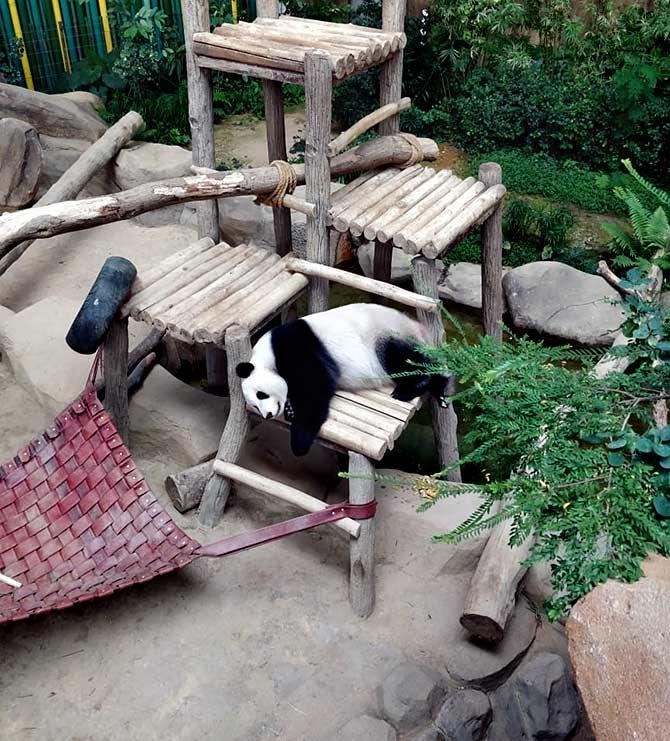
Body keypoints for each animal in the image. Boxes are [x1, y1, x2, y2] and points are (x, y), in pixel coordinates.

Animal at [238, 302, 456, 454]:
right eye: (255, 405)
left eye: (261, 394)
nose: (267, 415)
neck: (267, 355)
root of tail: (419, 328)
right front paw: (291, 409)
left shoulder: (295, 346)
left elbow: (316, 389)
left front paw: (299, 442)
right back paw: (439, 392)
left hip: (389, 334)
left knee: (405, 359)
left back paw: (411, 388)